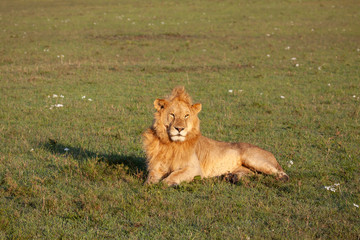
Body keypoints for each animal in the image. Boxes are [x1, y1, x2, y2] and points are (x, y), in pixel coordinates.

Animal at [142, 86, 288, 186]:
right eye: (172, 114)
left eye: (186, 116)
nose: (179, 129)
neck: (171, 144)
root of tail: (271, 154)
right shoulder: (156, 166)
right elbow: (150, 179)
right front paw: (149, 184)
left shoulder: (195, 169)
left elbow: (175, 174)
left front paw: (166, 183)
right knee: (252, 174)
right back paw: (230, 177)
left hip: (253, 158)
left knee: (281, 173)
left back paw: (279, 178)